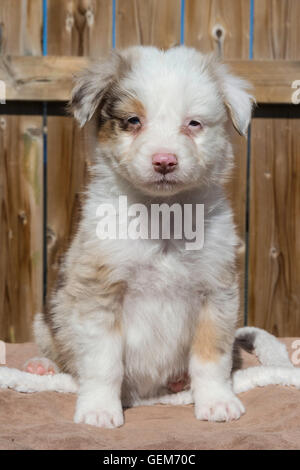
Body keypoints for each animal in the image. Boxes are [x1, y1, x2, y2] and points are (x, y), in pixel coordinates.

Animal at [28, 46, 253, 428]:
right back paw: (41, 367)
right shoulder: (99, 293)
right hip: (47, 318)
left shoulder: (217, 290)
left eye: (193, 123)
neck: (163, 214)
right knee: (58, 352)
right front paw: (99, 410)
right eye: (133, 121)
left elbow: (212, 357)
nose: (165, 161)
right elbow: (103, 362)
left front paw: (217, 402)